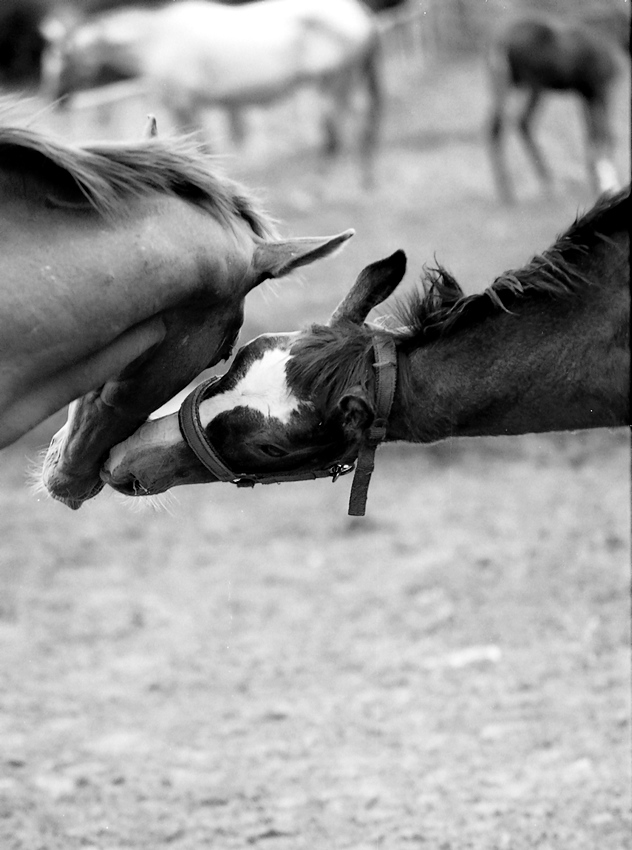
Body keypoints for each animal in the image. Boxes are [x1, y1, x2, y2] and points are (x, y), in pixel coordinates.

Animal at [43, 0, 386, 185]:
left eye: (65, 61)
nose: (58, 100)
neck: (157, 39)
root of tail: (360, 15)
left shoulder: (186, 104)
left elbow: (203, 149)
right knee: (361, 128)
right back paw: (365, 181)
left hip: (333, 85)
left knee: (335, 137)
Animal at [488, 7, 628, 202]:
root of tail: (499, 42)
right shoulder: (602, 87)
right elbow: (605, 133)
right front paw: (608, 184)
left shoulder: (585, 93)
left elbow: (590, 133)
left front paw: (597, 180)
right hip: (533, 86)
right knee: (522, 122)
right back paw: (546, 184)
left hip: (504, 86)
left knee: (495, 127)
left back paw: (508, 192)